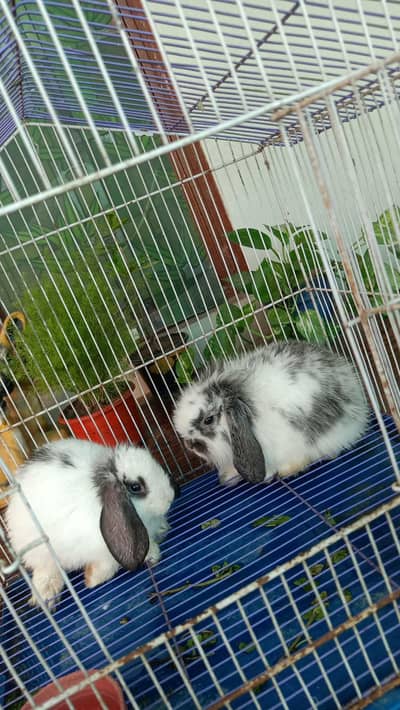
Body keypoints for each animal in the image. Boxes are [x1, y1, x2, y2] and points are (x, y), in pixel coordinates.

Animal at [6, 438, 179, 607]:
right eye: (135, 487)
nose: (170, 498)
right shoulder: (103, 550)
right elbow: (108, 565)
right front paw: (92, 579)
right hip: (44, 554)